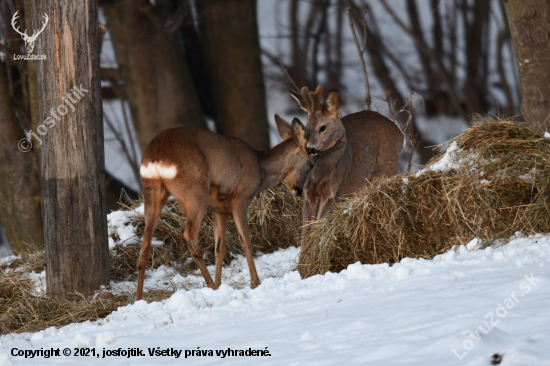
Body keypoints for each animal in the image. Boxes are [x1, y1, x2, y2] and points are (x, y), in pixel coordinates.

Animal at [135, 118, 314, 302]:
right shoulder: (239, 198)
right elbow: (245, 240)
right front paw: (255, 282)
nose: (299, 191)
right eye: (310, 165)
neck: (260, 170)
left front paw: (220, 283)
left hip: (152, 191)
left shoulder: (219, 209)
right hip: (195, 191)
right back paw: (211, 287)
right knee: (189, 235)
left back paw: (138, 299)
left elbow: (219, 248)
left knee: (145, 246)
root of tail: (155, 158)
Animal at [288, 85, 406, 262]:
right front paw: (302, 264)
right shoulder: (309, 191)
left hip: (388, 166)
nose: (310, 149)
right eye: (307, 129)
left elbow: (318, 226)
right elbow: (306, 230)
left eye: (322, 127)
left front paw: (315, 259)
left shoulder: (332, 191)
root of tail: (401, 134)